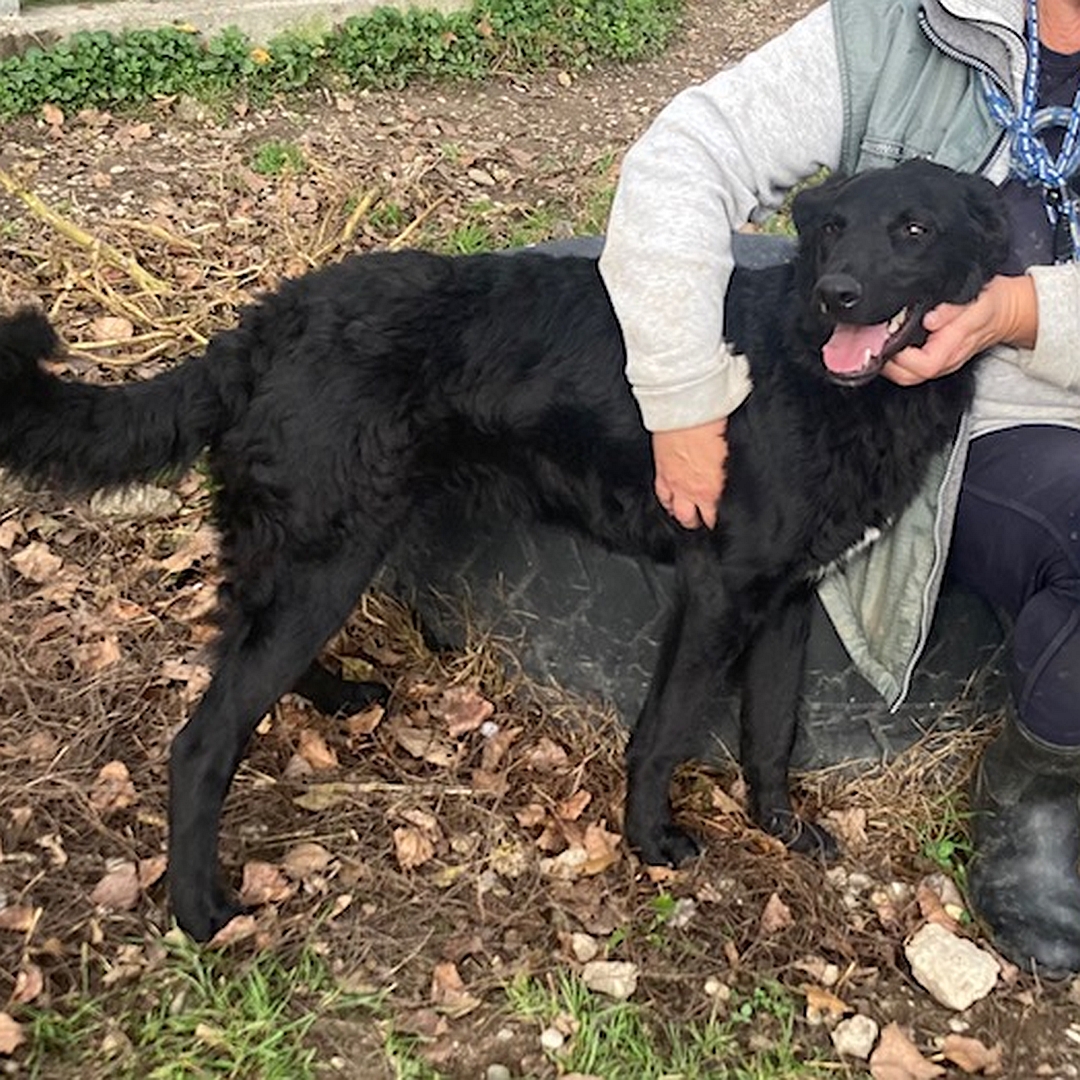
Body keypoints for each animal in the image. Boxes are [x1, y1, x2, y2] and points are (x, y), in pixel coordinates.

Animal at [0, 156, 1006, 941]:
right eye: (832, 229)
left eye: (914, 229)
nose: (841, 294)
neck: (808, 363)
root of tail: (267, 320)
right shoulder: (717, 591)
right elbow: (666, 730)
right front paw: (651, 843)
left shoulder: (786, 602)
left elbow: (772, 735)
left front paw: (781, 829)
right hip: (328, 560)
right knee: (204, 740)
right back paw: (200, 910)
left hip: (300, 554)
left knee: (241, 650)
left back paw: (332, 697)